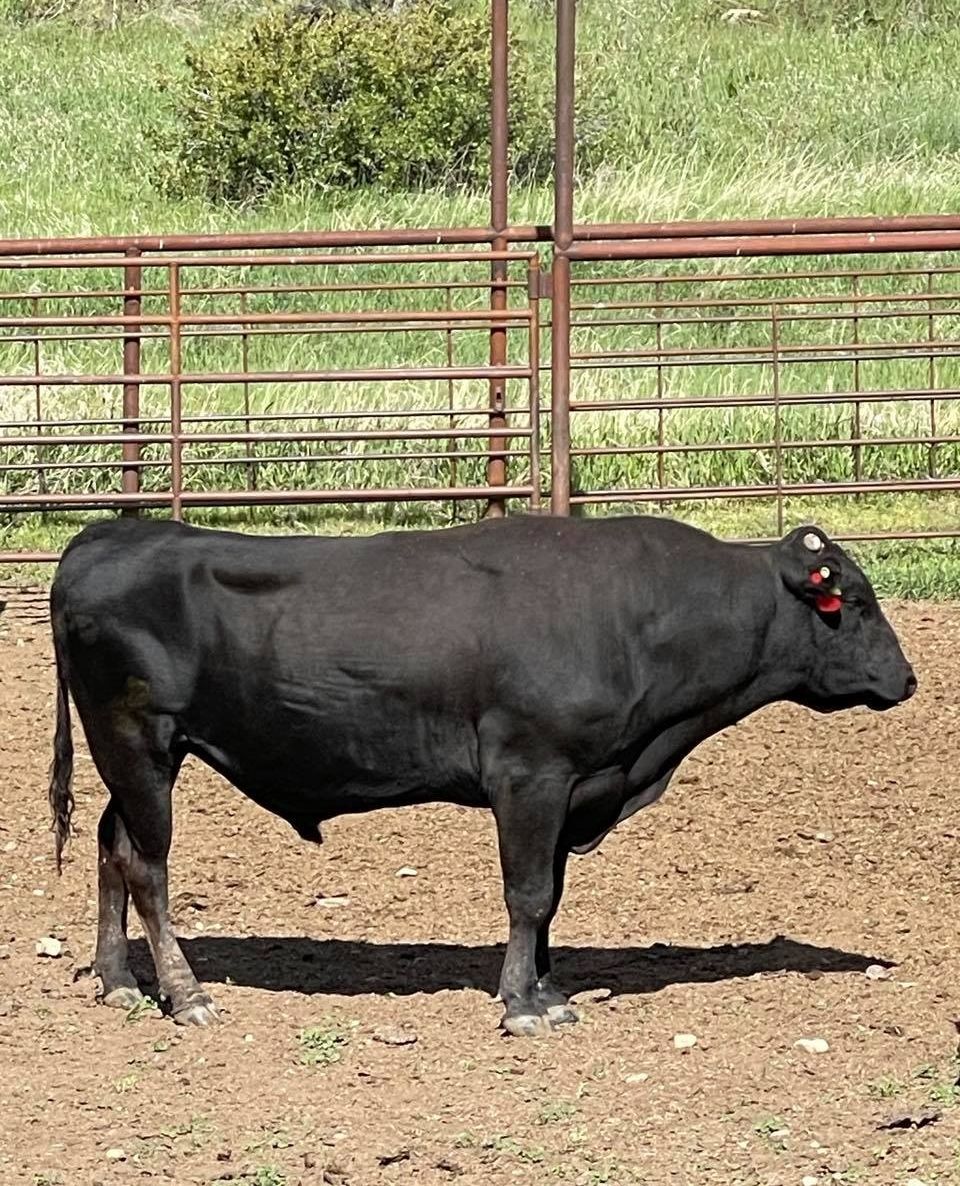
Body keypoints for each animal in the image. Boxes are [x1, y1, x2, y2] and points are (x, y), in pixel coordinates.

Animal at [48, 514, 916, 1036]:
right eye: (857, 602)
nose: (906, 680)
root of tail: (108, 534)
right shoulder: (530, 774)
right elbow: (528, 895)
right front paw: (521, 1004)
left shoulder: (575, 785)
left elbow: (551, 897)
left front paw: (550, 992)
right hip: (139, 744)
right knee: (149, 868)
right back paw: (187, 995)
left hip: (134, 761)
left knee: (111, 847)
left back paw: (119, 980)